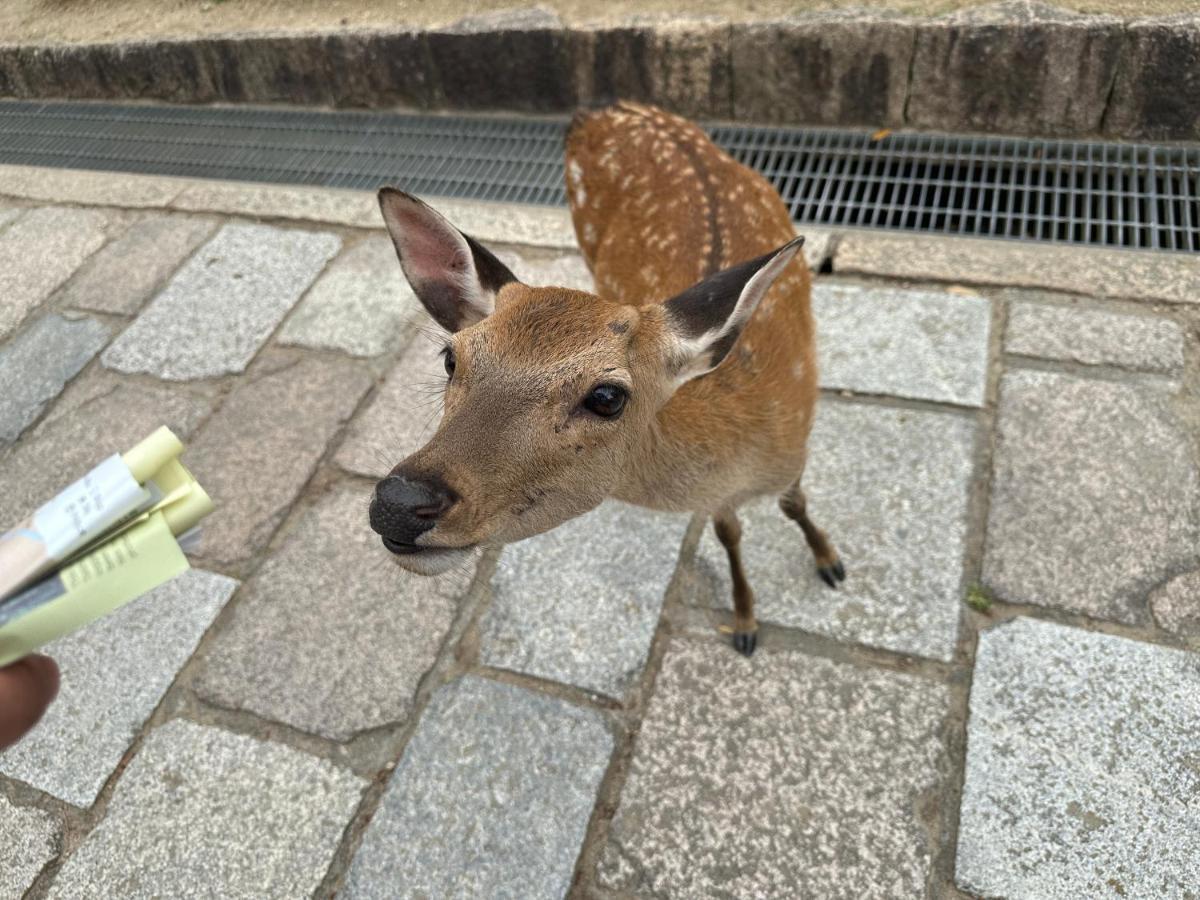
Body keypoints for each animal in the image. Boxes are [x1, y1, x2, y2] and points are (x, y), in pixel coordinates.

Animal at [364, 100, 844, 657]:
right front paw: (745, 620)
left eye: (608, 396)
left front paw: (828, 562)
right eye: (450, 359)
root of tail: (607, 107)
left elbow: (792, 503)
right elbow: (729, 530)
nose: (400, 502)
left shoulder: (795, 449)